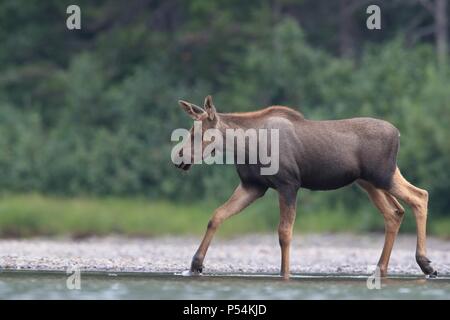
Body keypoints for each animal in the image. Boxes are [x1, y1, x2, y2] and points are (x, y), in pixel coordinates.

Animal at [175, 95, 436, 280]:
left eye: (198, 134)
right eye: (190, 131)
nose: (178, 157)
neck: (244, 147)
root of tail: (398, 134)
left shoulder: (288, 183)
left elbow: (284, 233)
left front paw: (285, 274)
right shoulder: (253, 186)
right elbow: (217, 215)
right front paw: (195, 264)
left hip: (382, 175)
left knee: (419, 196)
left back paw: (425, 263)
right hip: (370, 181)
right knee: (395, 212)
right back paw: (382, 268)